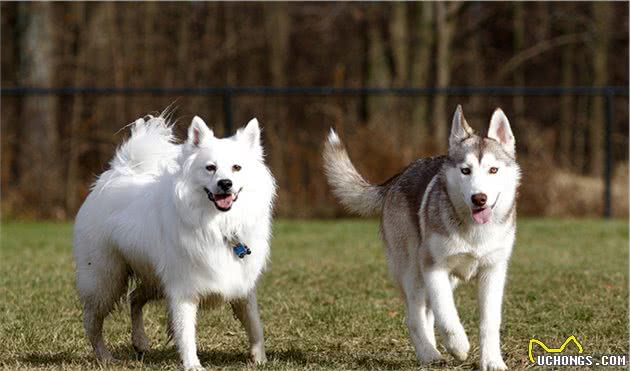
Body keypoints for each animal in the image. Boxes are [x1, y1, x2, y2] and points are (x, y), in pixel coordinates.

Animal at [73, 115, 276, 370]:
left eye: (237, 167)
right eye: (210, 168)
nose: (225, 183)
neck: (219, 225)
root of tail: (117, 174)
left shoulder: (242, 284)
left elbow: (254, 324)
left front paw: (260, 359)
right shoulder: (183, 289)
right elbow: (186, 331)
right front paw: (192, 365)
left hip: (153, 279)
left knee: (134, 298)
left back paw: (140, 342)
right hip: (106, 279)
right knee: (92, 321)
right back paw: (105, 356)